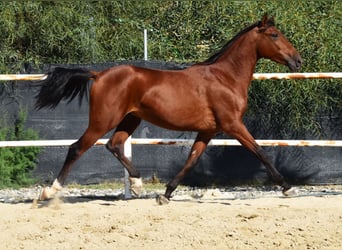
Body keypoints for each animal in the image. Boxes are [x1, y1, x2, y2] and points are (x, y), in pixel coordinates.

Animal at [34, 14, 302, 204]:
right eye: (274, 34)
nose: (297, 60)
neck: (225, 77)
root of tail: (98, 74)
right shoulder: (233, 125)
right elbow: (260, 151)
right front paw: (287, 187)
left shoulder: (208, 131)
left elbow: (191, 160)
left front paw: (166, 194)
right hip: (103, 120)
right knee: (77, 148)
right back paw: (49, 191)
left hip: (130, 119)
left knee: (114, 145)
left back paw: (137, 185)